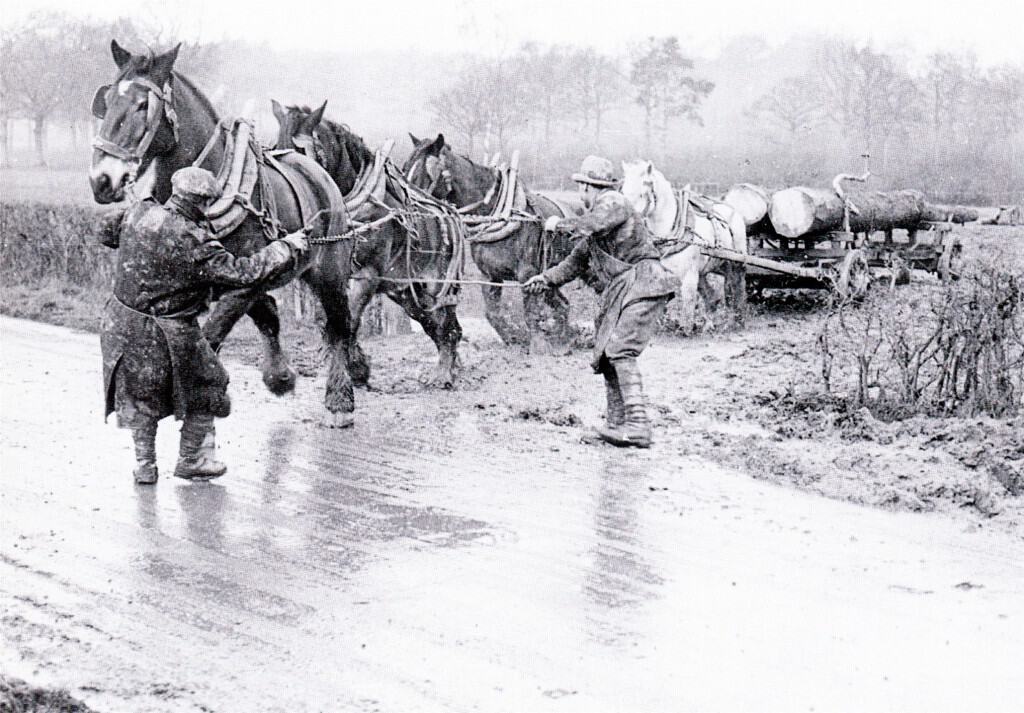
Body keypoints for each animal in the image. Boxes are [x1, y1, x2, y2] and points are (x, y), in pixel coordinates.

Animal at [89, 41, 360, 426]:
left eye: (143, 105)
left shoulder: (244, 282)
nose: (102, 180)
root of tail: (318, 173)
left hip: (331, 274)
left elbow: (210, 336)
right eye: (108, 100)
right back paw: (280, 377)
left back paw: (339, 400)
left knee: (338, 327)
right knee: (270, 314)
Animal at [272, 102, 464, 387]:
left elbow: (348, 321)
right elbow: (328, 321)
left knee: (450, 328)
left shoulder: (367, 275)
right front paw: (357, 367)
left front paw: (352, 369)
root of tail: (449, 213)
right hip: (408, 293)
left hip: (437, 286)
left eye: (301, 153)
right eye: (274, 149)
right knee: (435, 326)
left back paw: (443, 373)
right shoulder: (325, 276)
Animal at [401, 133, 581, 354]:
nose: (406, 207)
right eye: (405, 168)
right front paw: (514, 339)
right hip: (551, 274)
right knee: (563, 305)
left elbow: (530, 311)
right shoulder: (490, 275)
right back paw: (564, 340)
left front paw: (538, 347)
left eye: (425, 174)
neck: (496, 214)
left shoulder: (527, 274)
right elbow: (492, 314)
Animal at [618, 161, 749, 323]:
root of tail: (734, 211)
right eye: (623, 192)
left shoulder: (689, 278)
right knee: (713, 297)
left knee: (738, 288)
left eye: (642, 193)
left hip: (736, 262)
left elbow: (687, 310)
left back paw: (738, 319)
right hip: (709, 269)